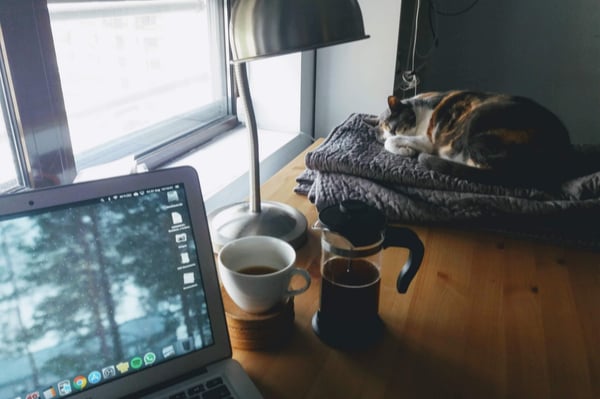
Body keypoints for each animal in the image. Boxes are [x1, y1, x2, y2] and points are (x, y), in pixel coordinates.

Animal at [370, 91, 572, 188]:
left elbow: (392, 143)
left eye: (394, 128)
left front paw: (406, 150)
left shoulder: (427, 140)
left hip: (476, 122)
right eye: (386, 130)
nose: (393, 132)